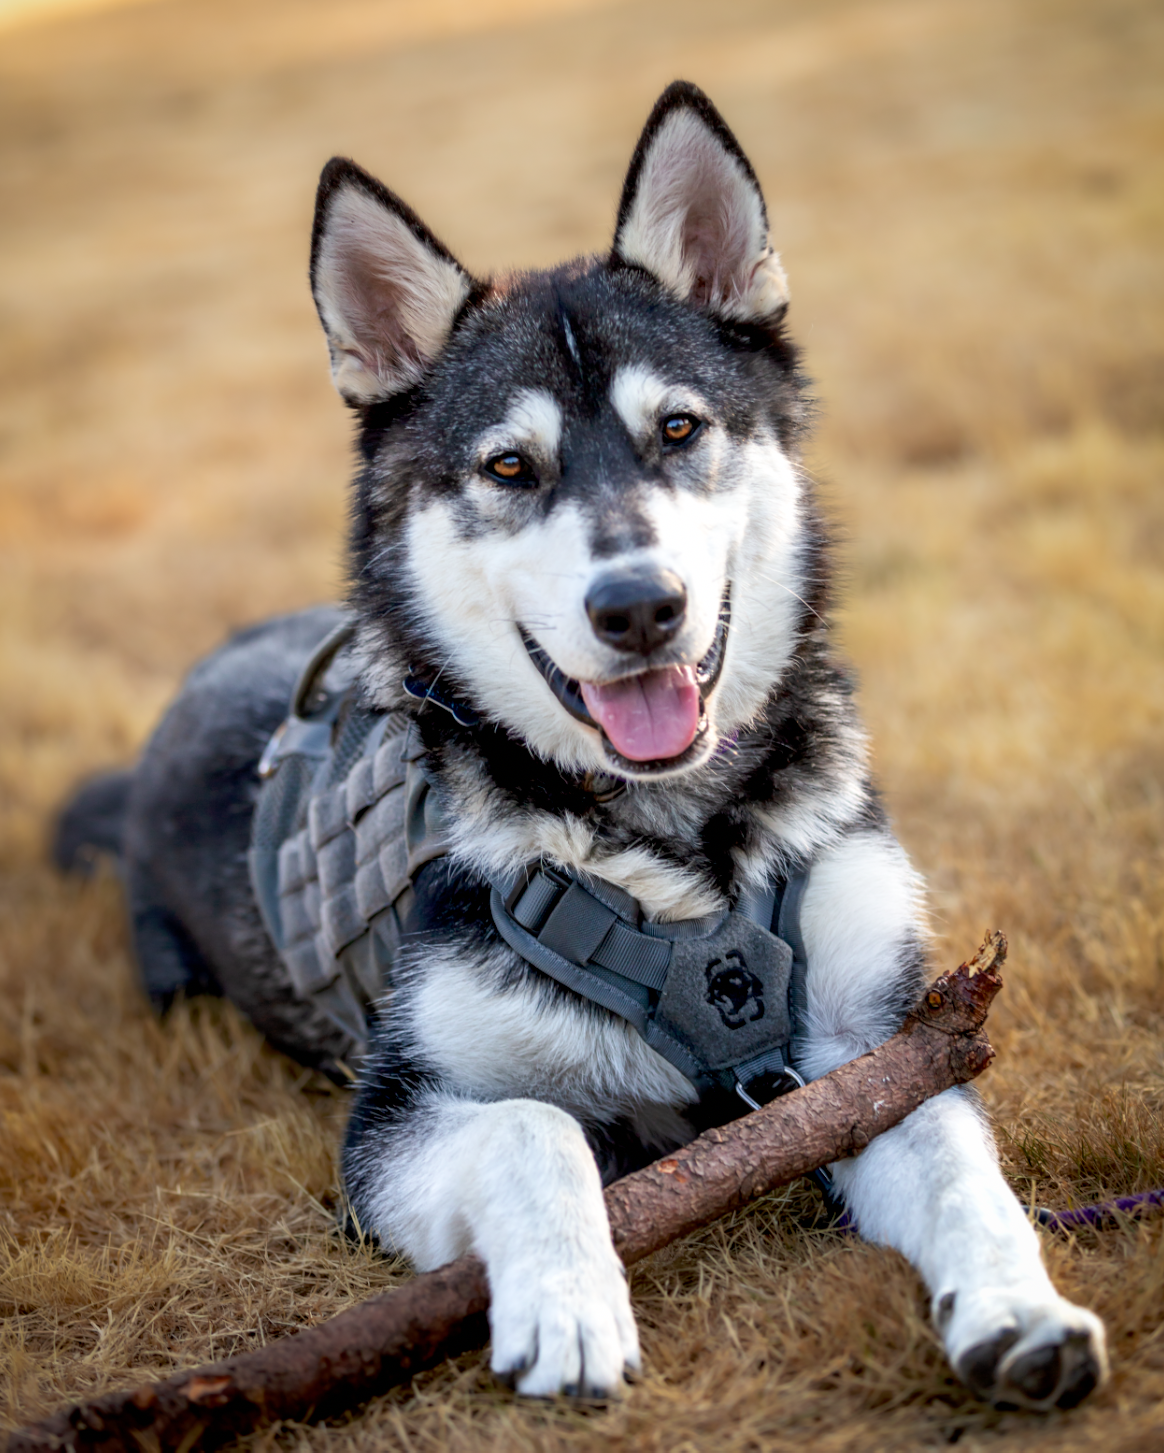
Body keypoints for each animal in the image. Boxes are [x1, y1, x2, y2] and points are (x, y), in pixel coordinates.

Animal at [58, 82, 1104, 1406]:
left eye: (679, 428)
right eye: (511, 465)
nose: (639, 606)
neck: (675, 844)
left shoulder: (875, 1044)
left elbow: (964, 1167)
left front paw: (1023, 1307)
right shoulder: (394, 1121)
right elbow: (535, 1123)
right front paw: (566, 1305)